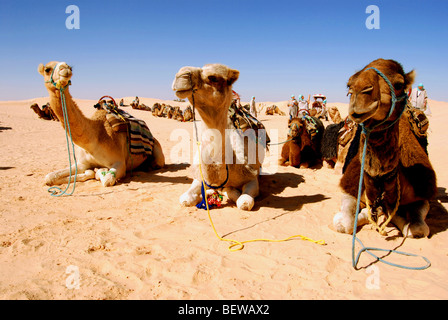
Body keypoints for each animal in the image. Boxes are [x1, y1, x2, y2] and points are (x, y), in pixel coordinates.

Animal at [170, 63, 264, 211]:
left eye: (213, 77)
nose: (181, 75)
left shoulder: (251, 177)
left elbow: (244, 202)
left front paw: (229, 191)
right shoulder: (200, 176)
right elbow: (185, 199)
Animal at [334, 58, 436, 238]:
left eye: (399, 84)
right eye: (349, 85)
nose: (360, 92)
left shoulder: (422, 193)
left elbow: (417, 229)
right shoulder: (350, 186)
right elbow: (344, 224)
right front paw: (366, 214)